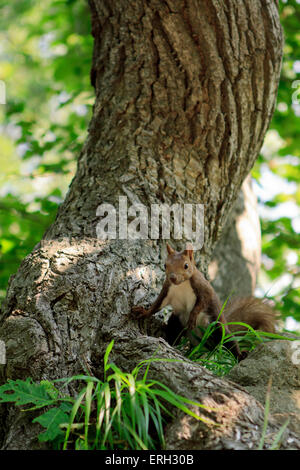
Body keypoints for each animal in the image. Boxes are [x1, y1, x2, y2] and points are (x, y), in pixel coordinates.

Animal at [132, 244, 278, 362]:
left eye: (186, 265)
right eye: (165, 265)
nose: (173, 277)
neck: (181, 285)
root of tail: (203, 344)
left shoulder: (203, 289)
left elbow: (201, 304)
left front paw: (192, 316)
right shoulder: (167, 290)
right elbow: (157, 305)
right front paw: (144, 312)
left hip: (217, 326)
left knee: (228, 341)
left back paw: (240, 355)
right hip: (176, 321)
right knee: (174, 333)